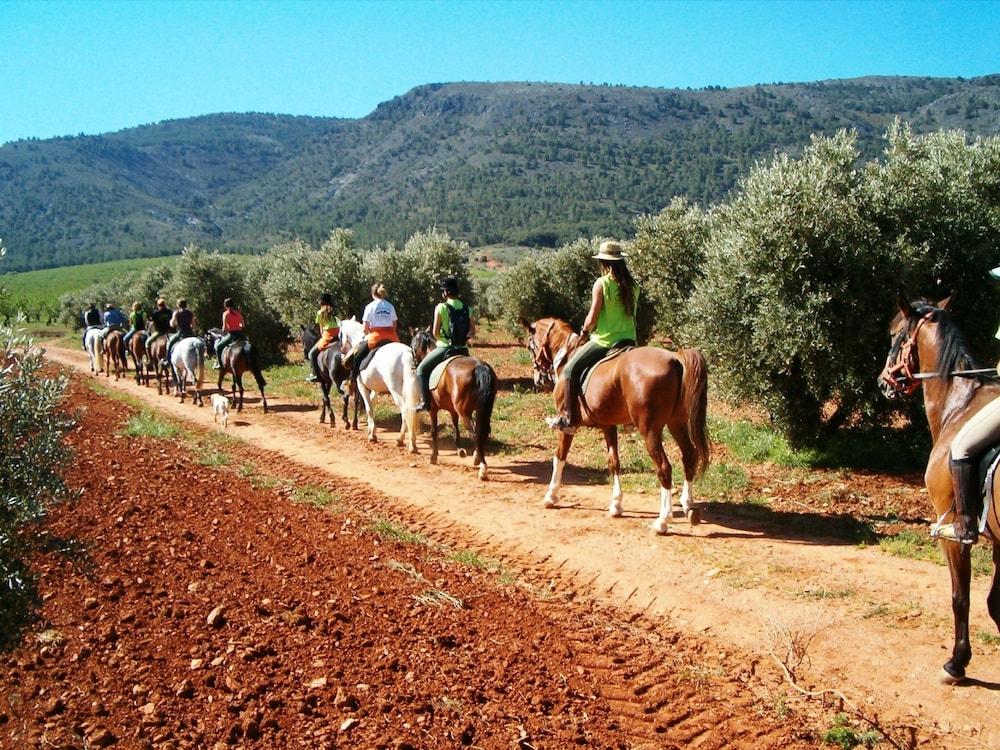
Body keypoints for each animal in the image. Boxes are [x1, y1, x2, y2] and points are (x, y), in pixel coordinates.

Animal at [340, 318, 418, 452]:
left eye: (340, 333)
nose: (342, 350)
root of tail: (406, 353)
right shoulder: (375, 389)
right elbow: (372, 404)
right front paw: (371, 430)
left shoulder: (362, 386)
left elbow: (368, 407)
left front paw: (372, 435)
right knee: (410, 410)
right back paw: (405, 440)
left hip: (395, 390)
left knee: (405, 410)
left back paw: (407, 442)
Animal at [410, 328, 496, 482]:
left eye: (412, 346)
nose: (414, 365)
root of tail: (480, 367)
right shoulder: (453, 410)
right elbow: (456, 427)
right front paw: (459, 449)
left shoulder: (432, 409)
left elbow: (433, 430)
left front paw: (433, 456)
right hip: (483, 409)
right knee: (483, 430)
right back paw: (478, 458)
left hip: (465, 412)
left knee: (476, 432)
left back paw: (482, 467)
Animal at [524, 318, 712, 536]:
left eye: (529, 346)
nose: (538, 378)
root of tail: (675, 358)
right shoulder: (608, 426)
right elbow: (614, 462)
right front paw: (616, 505)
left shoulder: (567, 427)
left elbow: (559, 457)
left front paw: (551, 496)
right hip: (676, 423)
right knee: (689, 456)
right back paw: (688, 506)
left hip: (650, 431)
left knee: (665, 468)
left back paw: (663, 521)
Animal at [880, 296, 996, 684]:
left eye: (894, 335)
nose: (883, 381)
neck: (959, 405)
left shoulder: (952, 531)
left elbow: (962, 597)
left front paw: (957, 662)